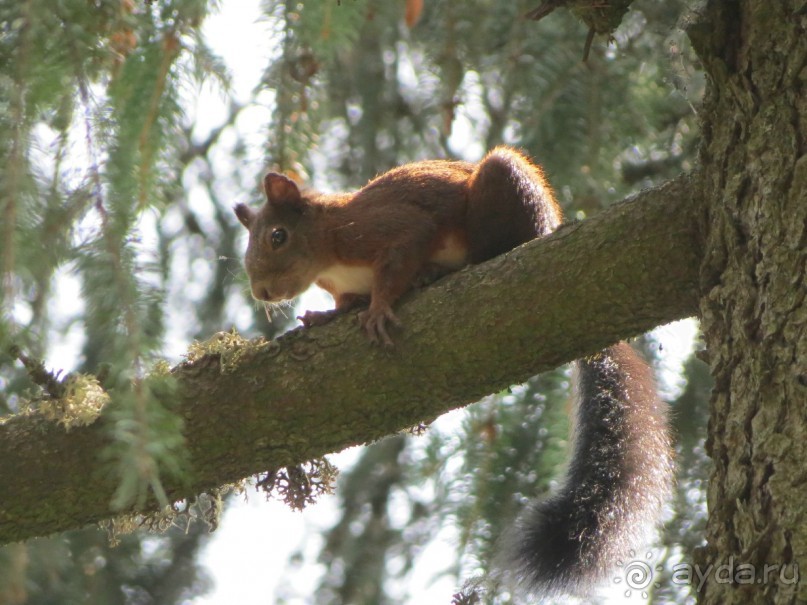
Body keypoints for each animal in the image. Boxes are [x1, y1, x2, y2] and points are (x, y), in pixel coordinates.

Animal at [235, 145, 676, 596]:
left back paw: (440, 271)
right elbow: (344, 305)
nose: (262, 292)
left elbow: (399, 261)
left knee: (494, 247)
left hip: (506, 190)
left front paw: (378, 308)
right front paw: (323, 316)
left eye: (277, 236)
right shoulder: (345, 287)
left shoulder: (382, 228)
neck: (329, 251)